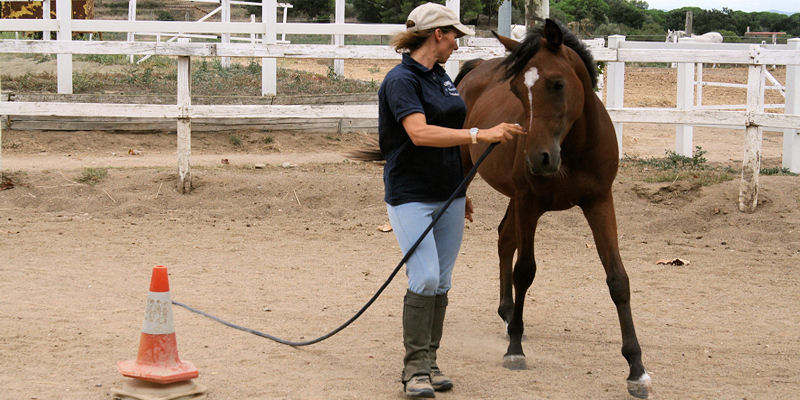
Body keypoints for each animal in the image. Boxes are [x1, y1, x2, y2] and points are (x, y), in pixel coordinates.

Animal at [454, 19, 652, 400]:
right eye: (516, 90)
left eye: (557, 83)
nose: (538, 158)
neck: (573, 148)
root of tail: (477, 67)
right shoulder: (529, 204)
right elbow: (525, 271)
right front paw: (515, 351)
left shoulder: (600, 202)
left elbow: (618, 279)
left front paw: (637, 369)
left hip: (515, 200)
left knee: (504, 239)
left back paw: (509, 314)